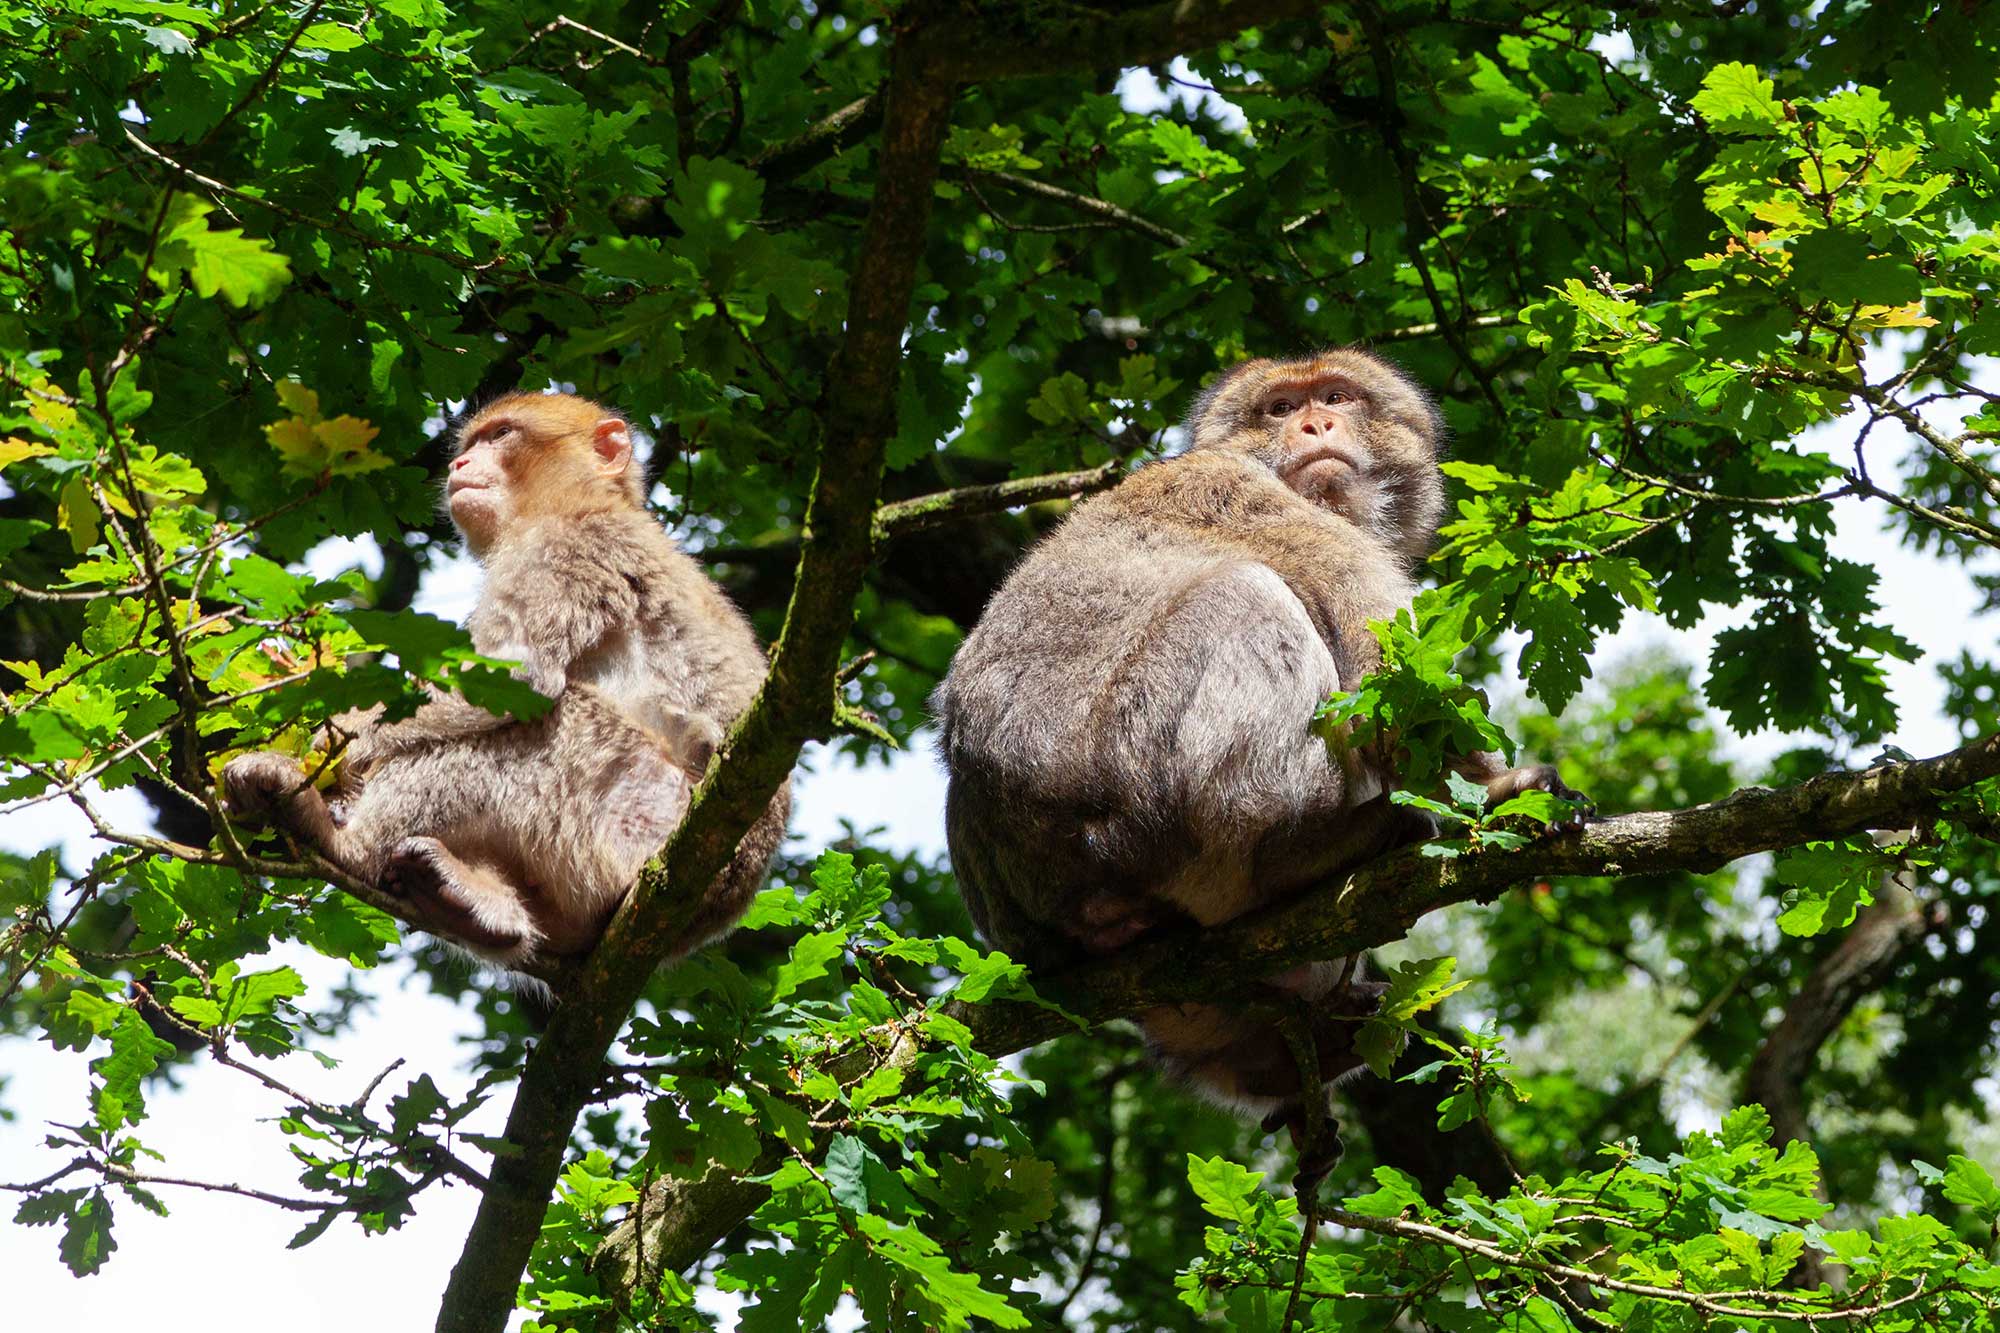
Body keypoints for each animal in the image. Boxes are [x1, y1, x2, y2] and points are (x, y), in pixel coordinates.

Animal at [227, 392, 788, 964]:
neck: (575, 503)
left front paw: (335, 744)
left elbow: (519, 676)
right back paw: (485, 911)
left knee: (537, 726)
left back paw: (344, 841)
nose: (459, 464)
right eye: (472, 443)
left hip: (630, 814)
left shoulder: (565, 549)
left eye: (500, 436)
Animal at [936, 348, 1576, 1168]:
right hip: (1138, 808)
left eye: (1337, 395)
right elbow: (1389, 688)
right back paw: (1300, 851)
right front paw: (1502, 791)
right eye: (1279, 408)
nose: (1315, 424)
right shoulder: (1245, 496)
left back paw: (1267, 1050)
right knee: (1243, 595)